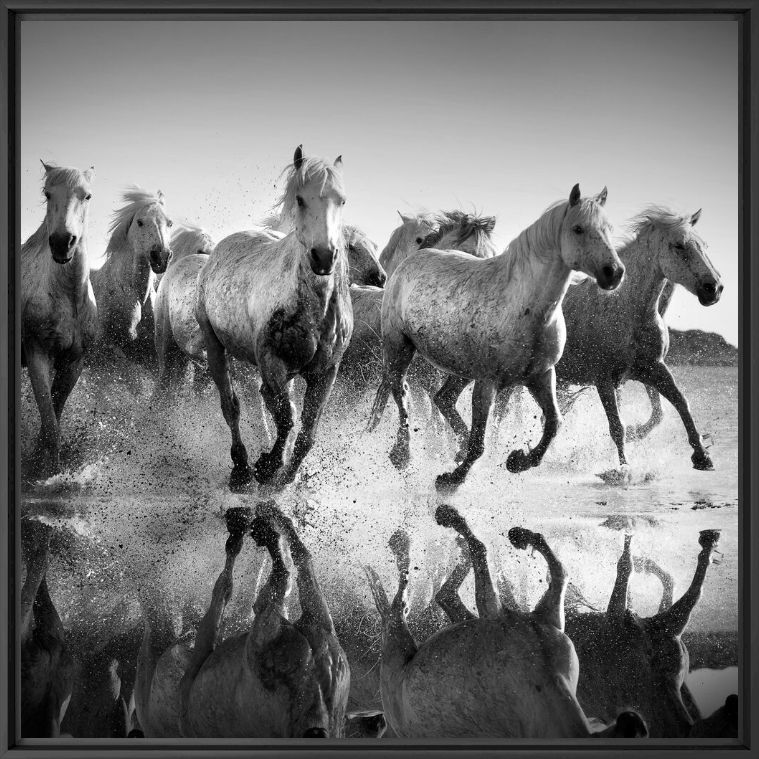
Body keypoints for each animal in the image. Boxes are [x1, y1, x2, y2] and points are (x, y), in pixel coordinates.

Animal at [134, 501, 351, 738]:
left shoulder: (192, 672)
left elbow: (223, 590)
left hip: (264, 634)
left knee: (269, 579)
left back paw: (259, 529)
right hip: (311, 624)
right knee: (297, 564)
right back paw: (275, 521)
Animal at [195, 145, 352, 490]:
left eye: (342, 200)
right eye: (300, 199)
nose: (324, 256)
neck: (314, 310)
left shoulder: (326, 372)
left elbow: (306, 430)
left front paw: (287, 475)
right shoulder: (271, 360)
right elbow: (285, 418)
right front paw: (268, 467)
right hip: (215, 346)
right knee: (232, 407)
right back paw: (241, 468)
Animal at [364, 504, 648, 739]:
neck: (547, 678)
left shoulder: (495, 613)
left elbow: (482, 551)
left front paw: (454, 519)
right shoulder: (545, 618)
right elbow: (559, 570)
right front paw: (522, 535)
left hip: (395, 650)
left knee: (400, 606)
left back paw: (403, 548)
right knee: (439, 596)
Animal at [368, 184, 625, 490]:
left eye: (609, 228)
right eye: (578, 228)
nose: (614, 272)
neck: (526, 307)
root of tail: (413, 260)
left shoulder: (541, 376)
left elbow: (554, 423)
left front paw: (518, 460)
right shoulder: (487, 381)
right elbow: (479, 443)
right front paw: (450, 480)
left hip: (457, 369)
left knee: (441, 398)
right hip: (399, 348)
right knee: (401, 392)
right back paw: (402, 454)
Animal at [555, 207, 722, 471]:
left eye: (704, 245)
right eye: (679, 245)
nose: (714, 288)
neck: (628, 310)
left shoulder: (651, 369)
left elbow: (676, 405)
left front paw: (702, 455)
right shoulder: (603, 378)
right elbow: (617, 427)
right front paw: (624, 469)